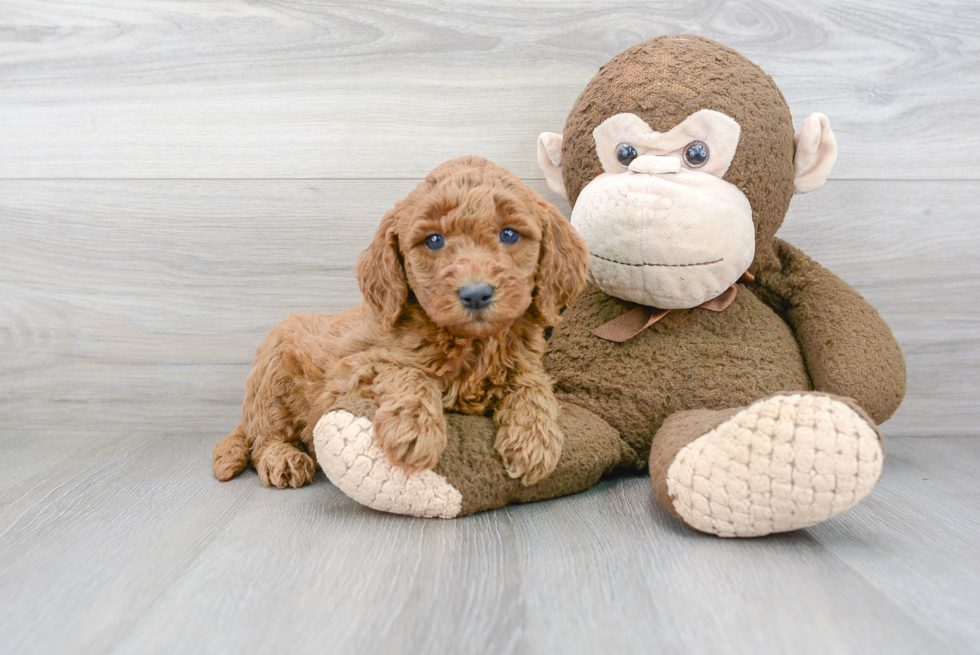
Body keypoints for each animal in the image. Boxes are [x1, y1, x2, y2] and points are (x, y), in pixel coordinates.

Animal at [211, 156, 584, 490]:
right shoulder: (350, 372)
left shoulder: (524, 364)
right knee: (264, 436)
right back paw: (284, 459)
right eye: (434, 240)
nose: (476, 294)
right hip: (273, 374)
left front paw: (534, 440)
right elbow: (407, 373)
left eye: (509, 234)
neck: (471, 342)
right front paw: (414, 430)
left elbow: (533, 385)